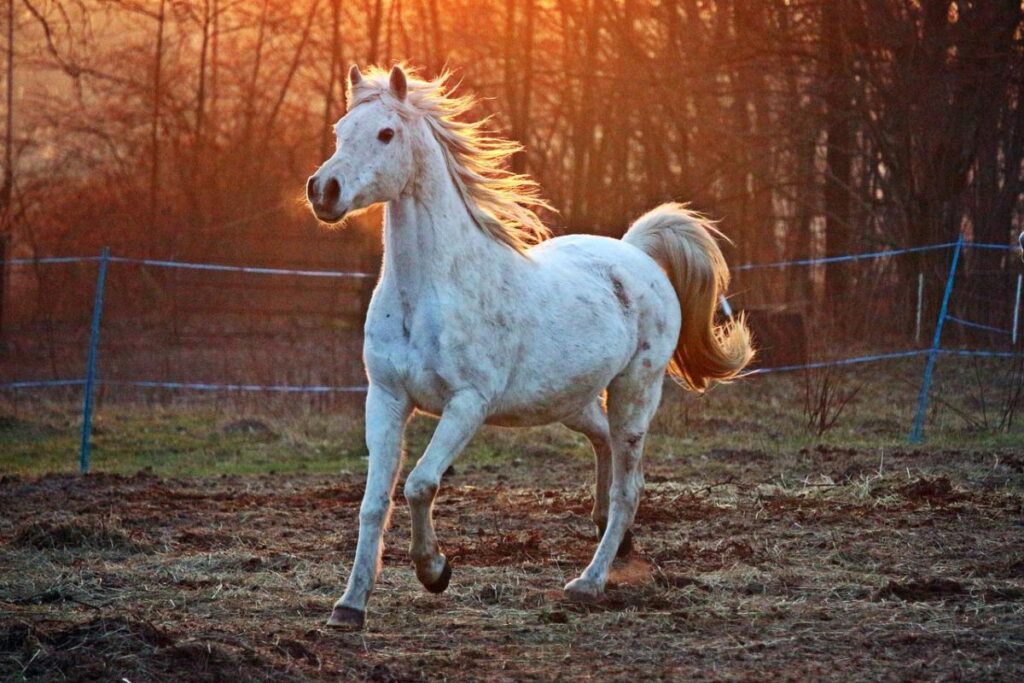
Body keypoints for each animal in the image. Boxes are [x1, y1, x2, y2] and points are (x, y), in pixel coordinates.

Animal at [303, 65, 753, 630]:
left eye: (386, 133)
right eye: (341, 130)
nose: (324, 190)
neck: (427, 291)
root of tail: (637, 254)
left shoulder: (467, 405)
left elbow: (420, 484)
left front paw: (435, 571)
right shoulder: (385, 398)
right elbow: (373, 502)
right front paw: (349, 606)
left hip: (635, 392)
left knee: (629, 487)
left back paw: (588, 582)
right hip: (570, 400)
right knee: (604, 445)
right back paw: (614, 538)